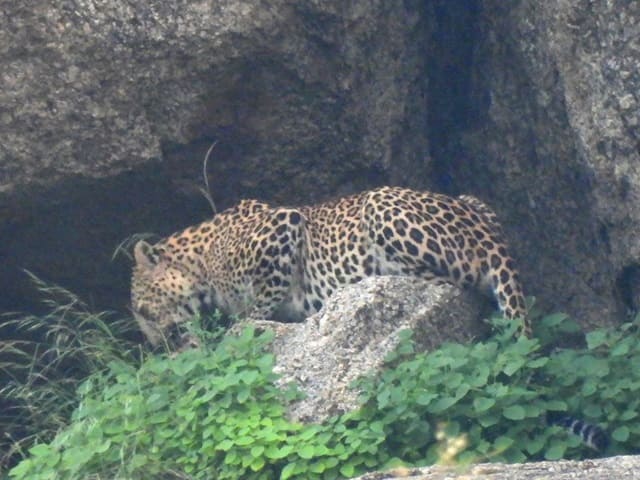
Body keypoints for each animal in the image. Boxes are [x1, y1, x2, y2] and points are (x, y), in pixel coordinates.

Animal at [131, 186, 528, 347]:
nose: (155, 346)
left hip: (378, 202)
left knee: (449, 283)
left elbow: (259, 304)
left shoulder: (283, 224)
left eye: (142, 310)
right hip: (474, 201)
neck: (200, 263)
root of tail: (487, 234)